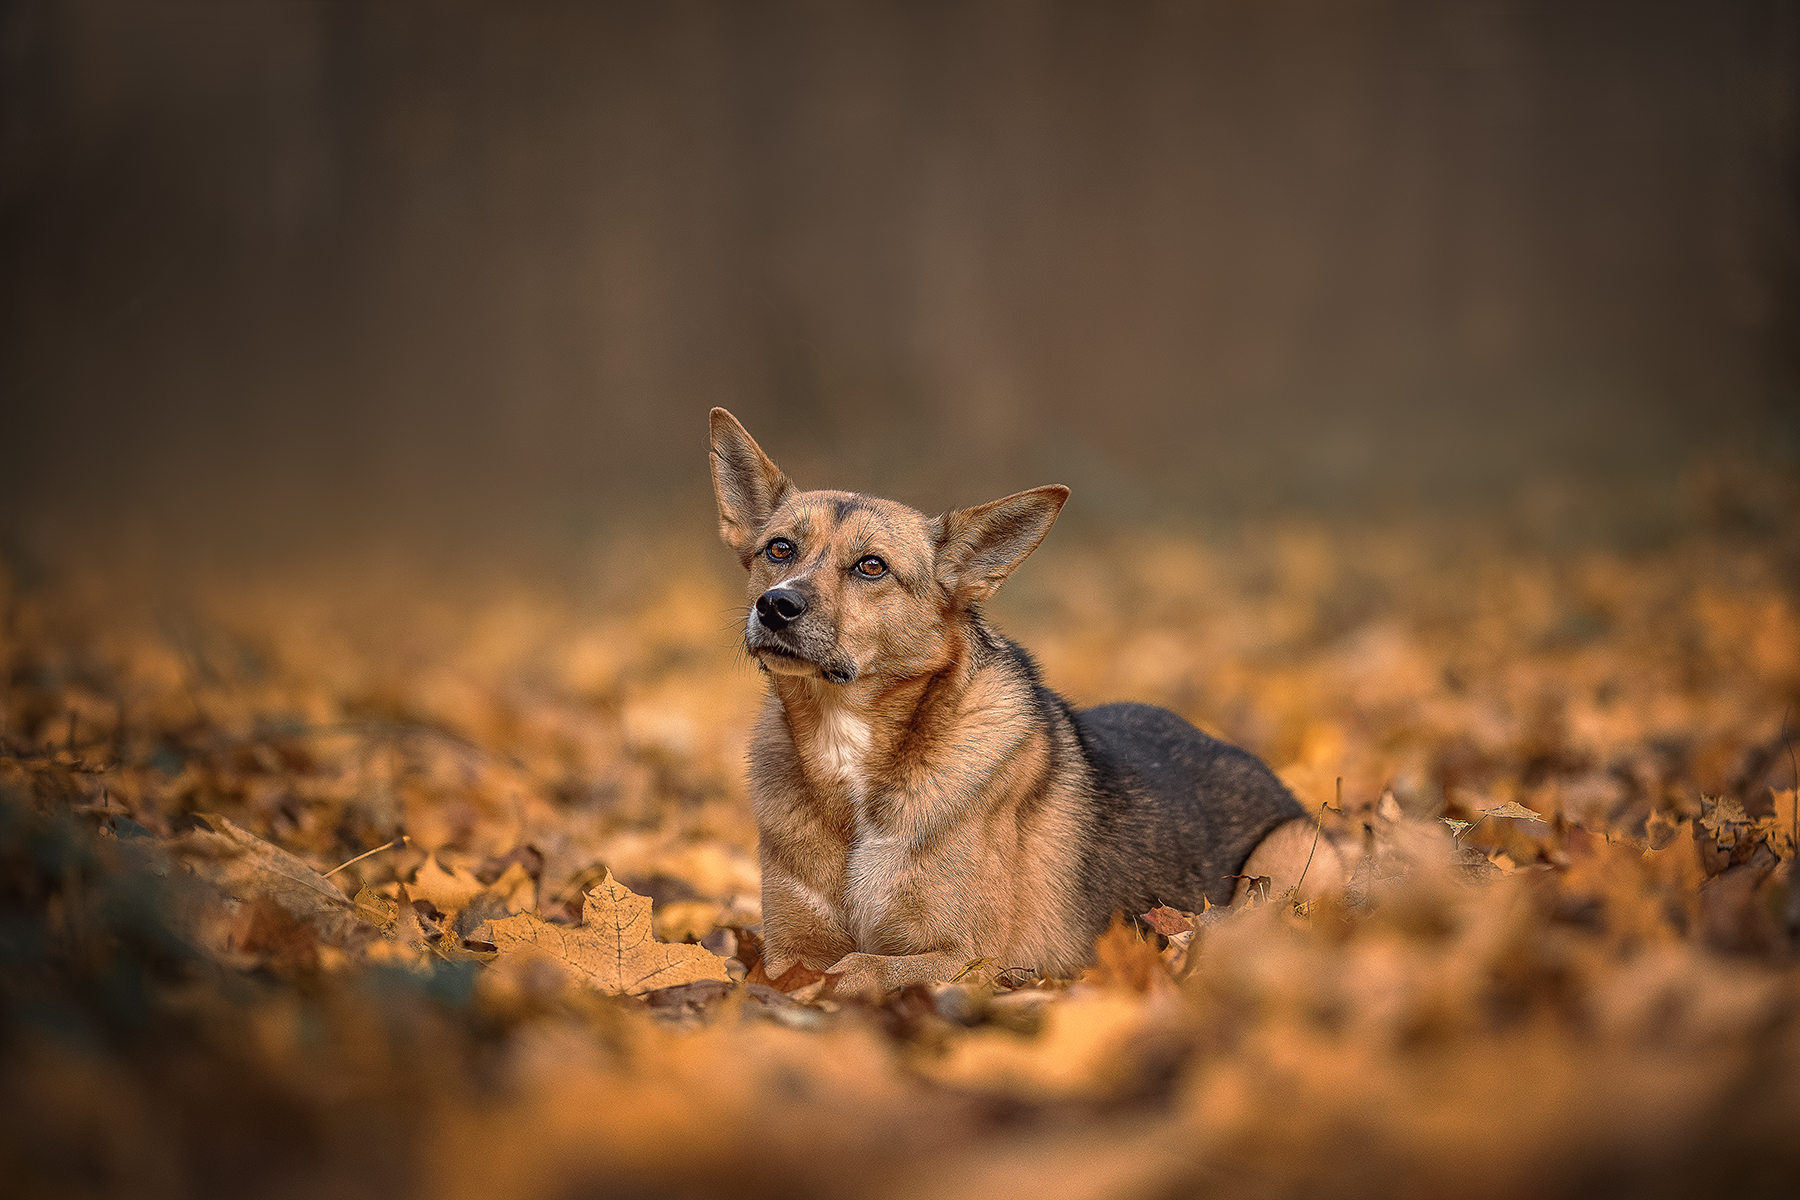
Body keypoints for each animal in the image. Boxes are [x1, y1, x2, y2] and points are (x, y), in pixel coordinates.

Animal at [709, 413, 1346, 993]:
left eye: (872, 566)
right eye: (779, 549)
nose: (776, 605)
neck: (848, 750)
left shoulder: (970, 960)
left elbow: (855, 969)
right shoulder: (789, 950)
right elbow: (795, 970)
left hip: (1283, 860)